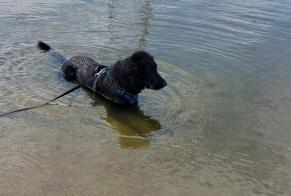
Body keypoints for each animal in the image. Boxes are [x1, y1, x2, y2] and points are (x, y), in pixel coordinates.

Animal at [37, 41, 168, 104]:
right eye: (150, 70)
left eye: (156, 67)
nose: (165, 84)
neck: (120, 83)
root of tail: (67, 59)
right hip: (68, 73)